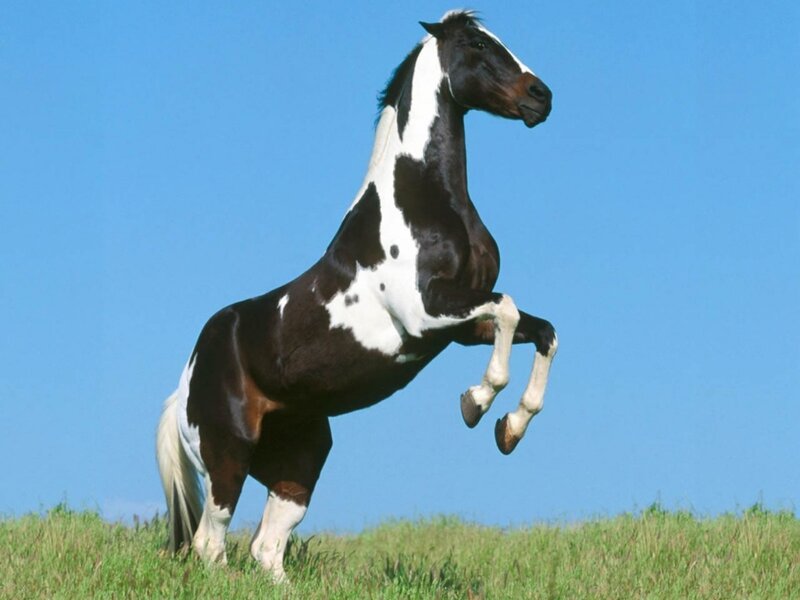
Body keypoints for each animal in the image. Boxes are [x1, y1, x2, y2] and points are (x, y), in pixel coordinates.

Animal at [156, 9, 557, 582]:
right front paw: (476, 404)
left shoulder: (463, 325)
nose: (541, 97)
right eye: (478, 44)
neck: (424, 202)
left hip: (300, 460)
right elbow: (507, 310)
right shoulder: (426, 314)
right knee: (211, 545)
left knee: (266, 548)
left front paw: (510, 429)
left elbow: (540, 330)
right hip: (227, 456)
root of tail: (184, 385)